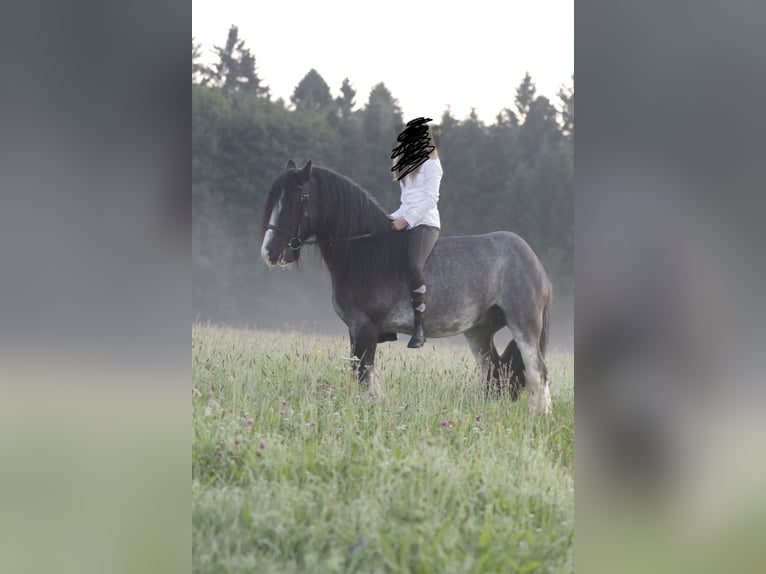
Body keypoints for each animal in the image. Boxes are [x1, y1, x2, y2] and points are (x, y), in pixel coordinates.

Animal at [260, 160, 552, 415]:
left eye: (299, 199)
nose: (269, 252)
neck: (364, 251)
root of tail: (535, 263)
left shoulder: (364, 328)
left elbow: (364, 378)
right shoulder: (355, 330)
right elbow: (365, 376)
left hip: (524, 325)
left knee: (537, 372)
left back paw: (539, 417)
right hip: (479, 331)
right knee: (492, 371)